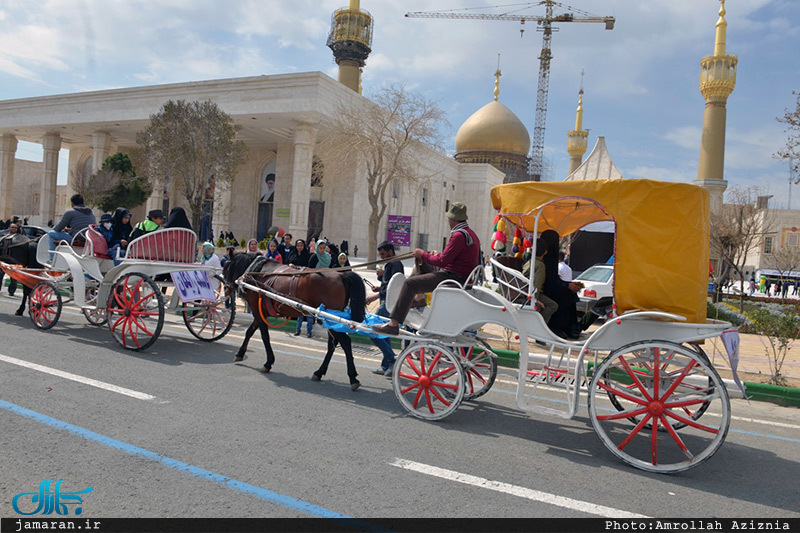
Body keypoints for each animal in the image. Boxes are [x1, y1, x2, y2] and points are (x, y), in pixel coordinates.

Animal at [222, 252, 366, 380]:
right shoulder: (260, 313)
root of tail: (342, 275)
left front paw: (268, 362)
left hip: (328, 318)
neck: (257, 273)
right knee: (333, 344)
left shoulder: (257, 311)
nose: (226, 289)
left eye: (226, 268)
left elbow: (264, 336)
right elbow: (249, 332)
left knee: (345, 342)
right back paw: (319, 372)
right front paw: (240, 353)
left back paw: (352, 377)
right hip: (329, 320)